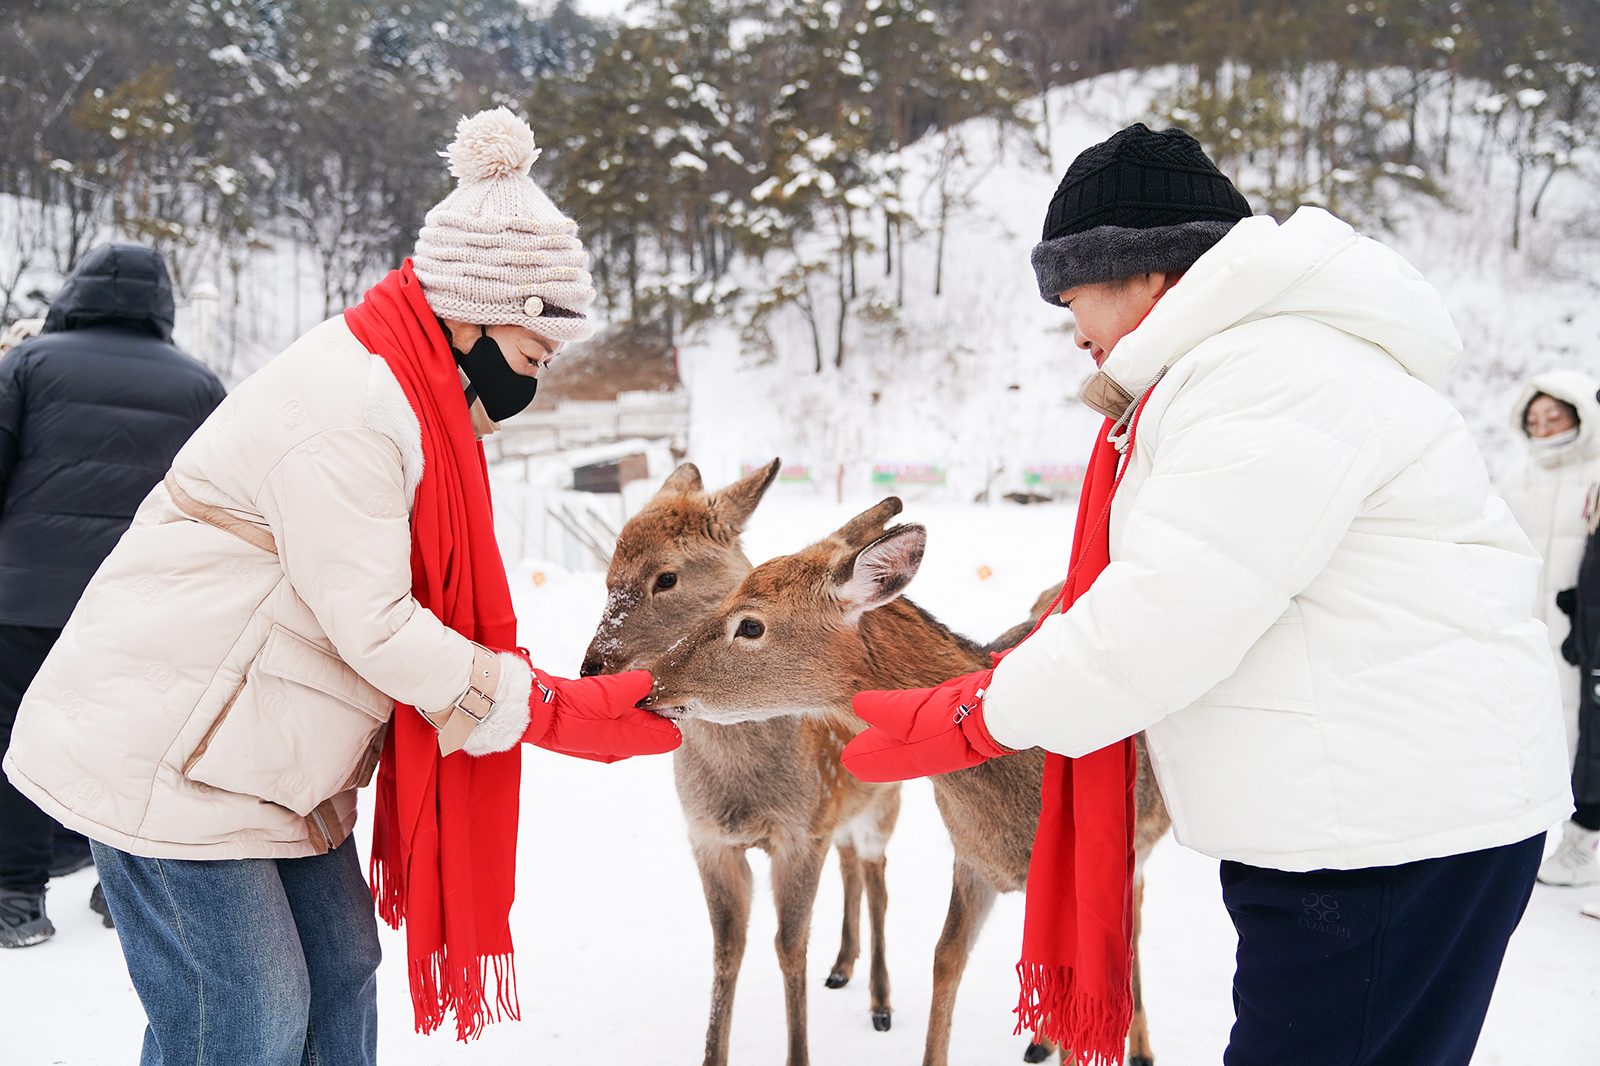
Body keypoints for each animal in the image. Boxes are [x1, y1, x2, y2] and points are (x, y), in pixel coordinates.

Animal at [579, 460, 908, 1062]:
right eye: (608, 575)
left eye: (666, 577)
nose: (592, 665)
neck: (744, 790)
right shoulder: (709, 838)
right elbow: (727, 947)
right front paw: (713, 1052)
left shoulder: (801, 833)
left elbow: (789, 946)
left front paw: (799, 1053)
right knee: (852, 865)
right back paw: (842, 968)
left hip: (886, 801)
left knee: (878, 877)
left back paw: (880, 1003)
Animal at [636, 496, 1177, 1062]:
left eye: (751, 626)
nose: (652, 685)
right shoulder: (970, 857)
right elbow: (946, 959)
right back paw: (1041, 1040)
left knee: (1133, 933)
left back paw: (1137, 1047)